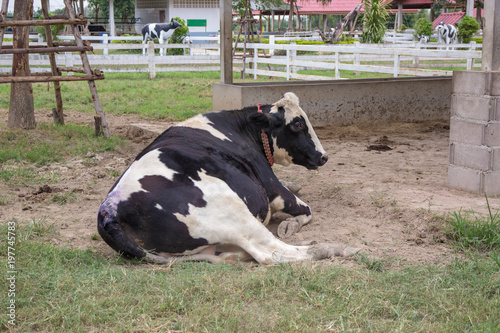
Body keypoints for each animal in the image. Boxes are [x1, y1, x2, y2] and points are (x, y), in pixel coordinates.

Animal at [96, 92, 360, 264]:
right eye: (297, 124)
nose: (323, 156)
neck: (243, 128)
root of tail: (109, 210)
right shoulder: (272, 188)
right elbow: (306, 210)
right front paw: (290, 224)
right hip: (234, 214)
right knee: (270, 253)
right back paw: (336, 249)